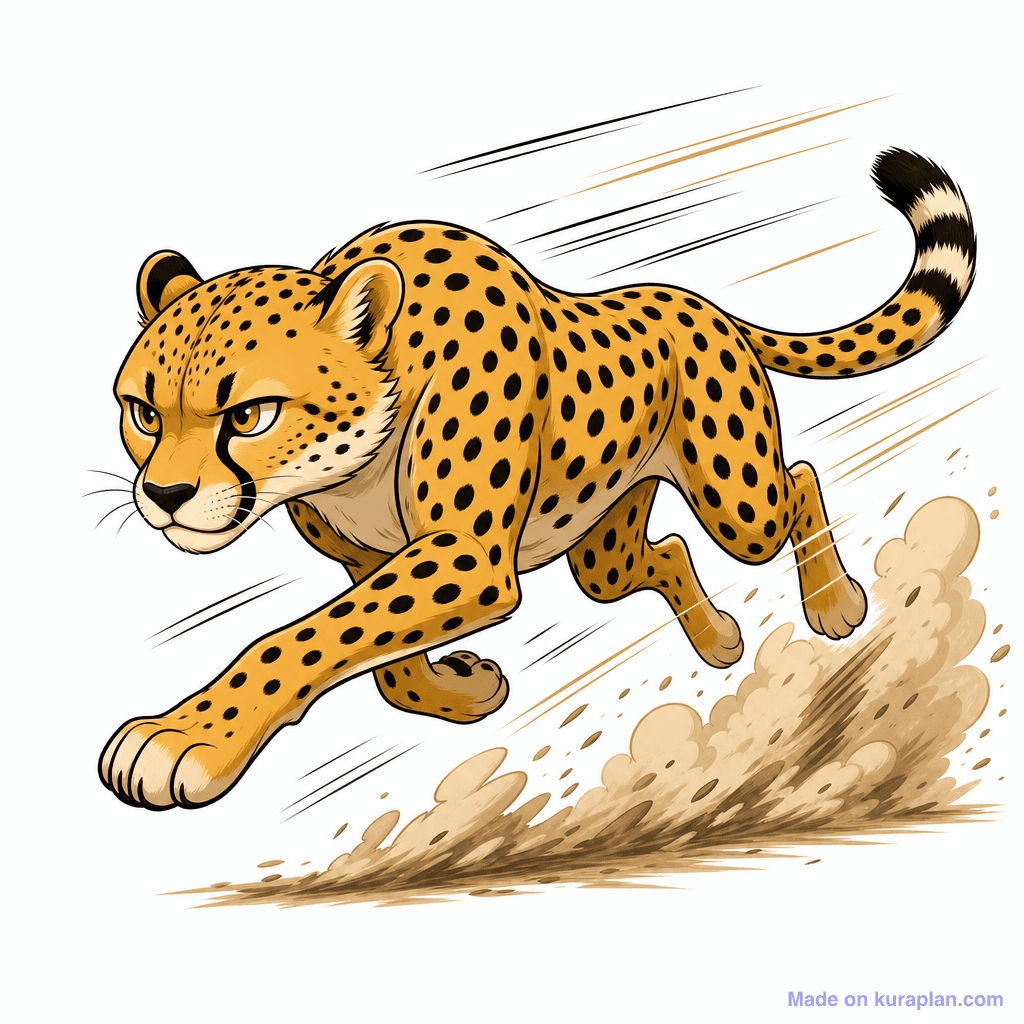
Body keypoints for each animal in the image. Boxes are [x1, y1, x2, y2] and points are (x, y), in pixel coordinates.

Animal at [100, 148, 975, 809]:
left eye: (249, 415)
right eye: (143, 412)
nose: (165, 498)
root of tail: (696, 300)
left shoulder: (467, 556)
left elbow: (300, 637)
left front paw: (183, 738)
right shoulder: (373, 560)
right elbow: (380, 665)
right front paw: (464, 691)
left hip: (739, 504)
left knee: (793, 480)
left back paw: (832, 603)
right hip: (602, 548)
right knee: (660, 554)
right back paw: (719, 638)